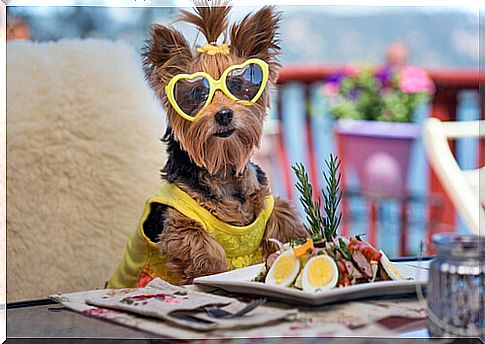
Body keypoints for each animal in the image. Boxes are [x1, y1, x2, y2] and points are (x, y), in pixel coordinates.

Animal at [107, 1, 304, 288]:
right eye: (197, 94)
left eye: (240, 85)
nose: (223, 114)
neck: (222, 170)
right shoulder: (177, 223)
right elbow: (200, 249)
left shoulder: (269, 207)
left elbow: (284, 222)